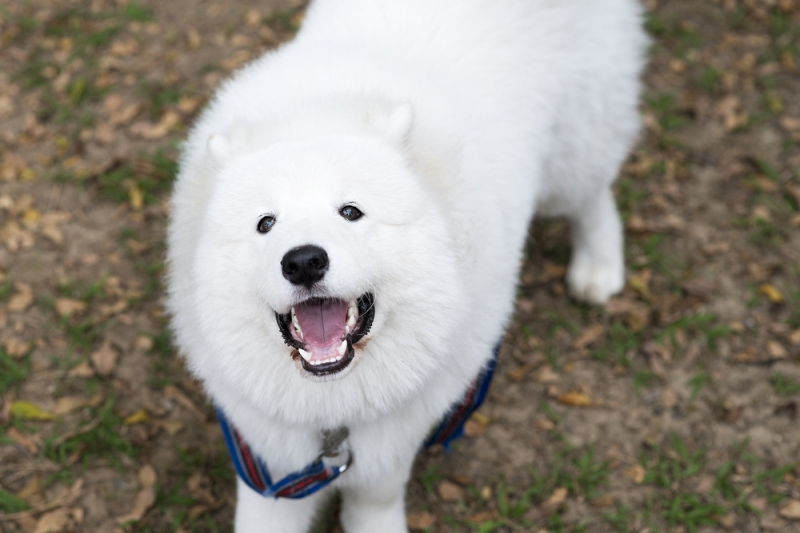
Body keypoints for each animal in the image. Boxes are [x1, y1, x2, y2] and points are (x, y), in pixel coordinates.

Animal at [166, 0, 648, 528]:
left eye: (351, 212)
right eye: (265, 224)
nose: (304, 262)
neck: (333, 418)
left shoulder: (389, 449)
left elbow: (375, 504)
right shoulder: (273, 470)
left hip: (572, 158)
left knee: (594, 198)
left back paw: (598, 267)